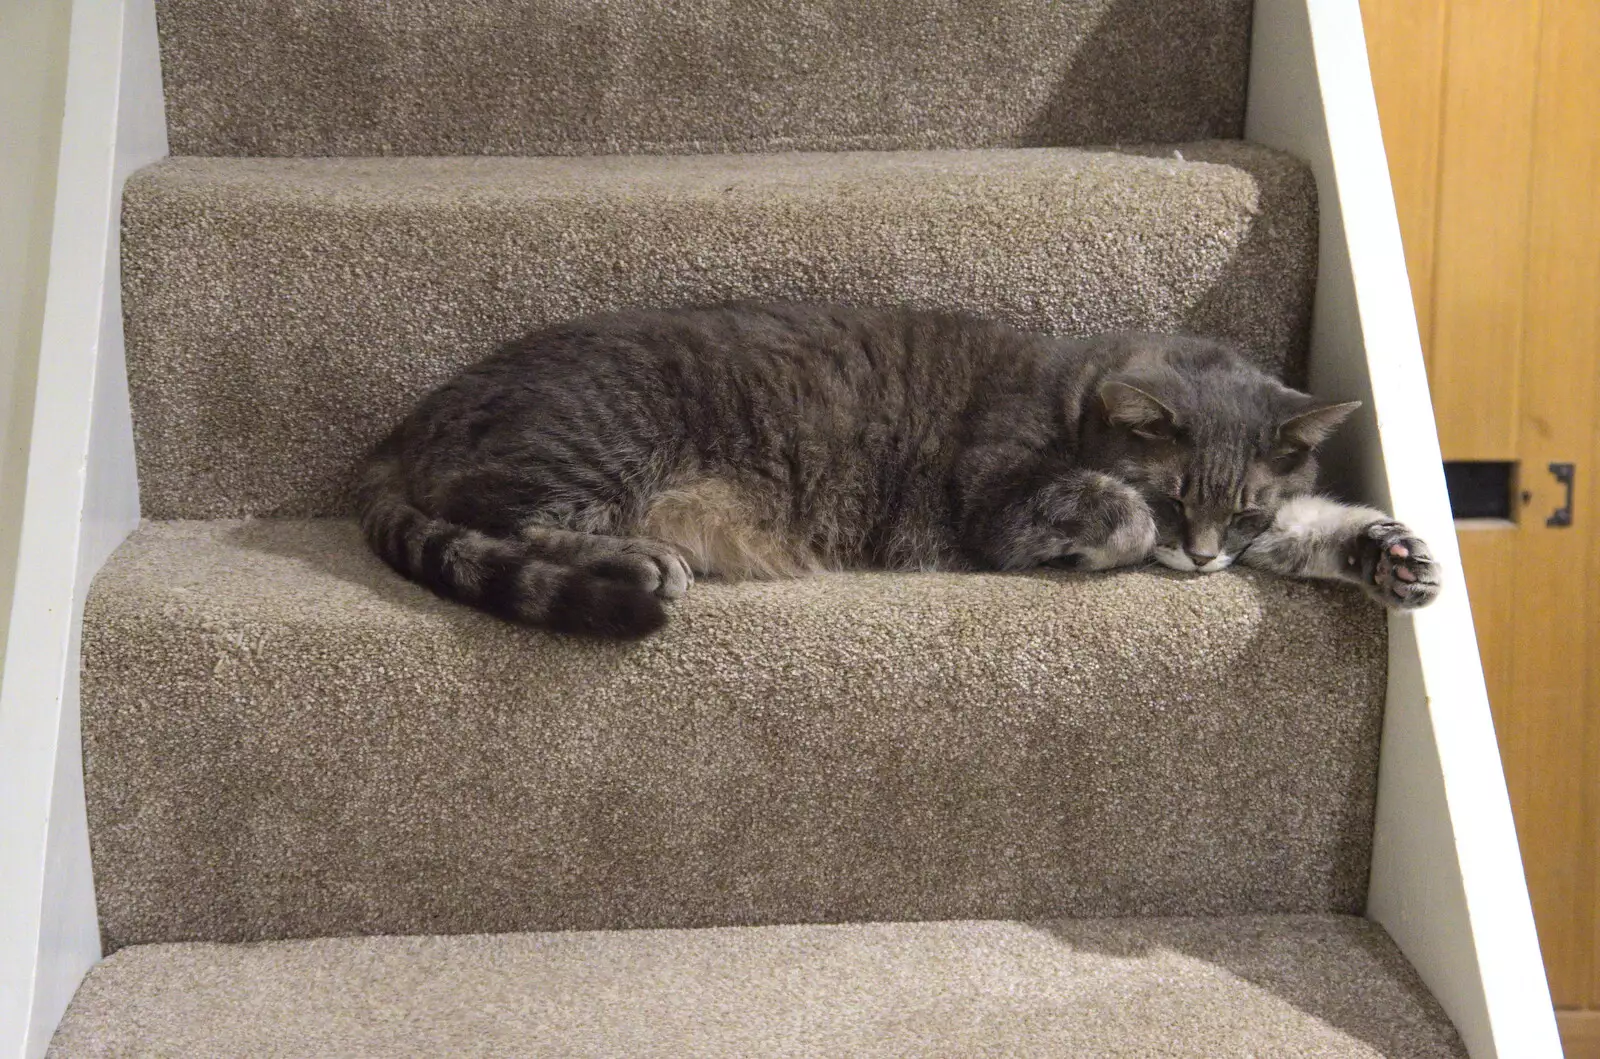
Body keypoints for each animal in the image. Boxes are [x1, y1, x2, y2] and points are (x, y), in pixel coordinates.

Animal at [360, 307, 1440, 639]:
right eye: (1178, 499)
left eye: (1243, 513)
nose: (1209, 559)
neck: (1071, 392)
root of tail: (410, 420)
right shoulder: (1002, 505)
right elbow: (1110, 513)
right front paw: (1117, 537)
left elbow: (1320, 523)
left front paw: (1390, 552)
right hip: (596, 445)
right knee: (512, 521)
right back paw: (637, 560)